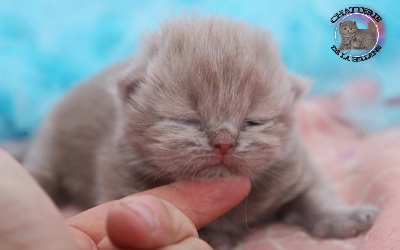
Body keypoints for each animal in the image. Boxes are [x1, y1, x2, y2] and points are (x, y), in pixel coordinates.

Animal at [25, 15, 378, 248]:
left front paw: (349, 219)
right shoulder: (119, 179)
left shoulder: (295, 170)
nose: (224, 142)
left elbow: (318, 197)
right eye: (189, 120)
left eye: (253, 121)